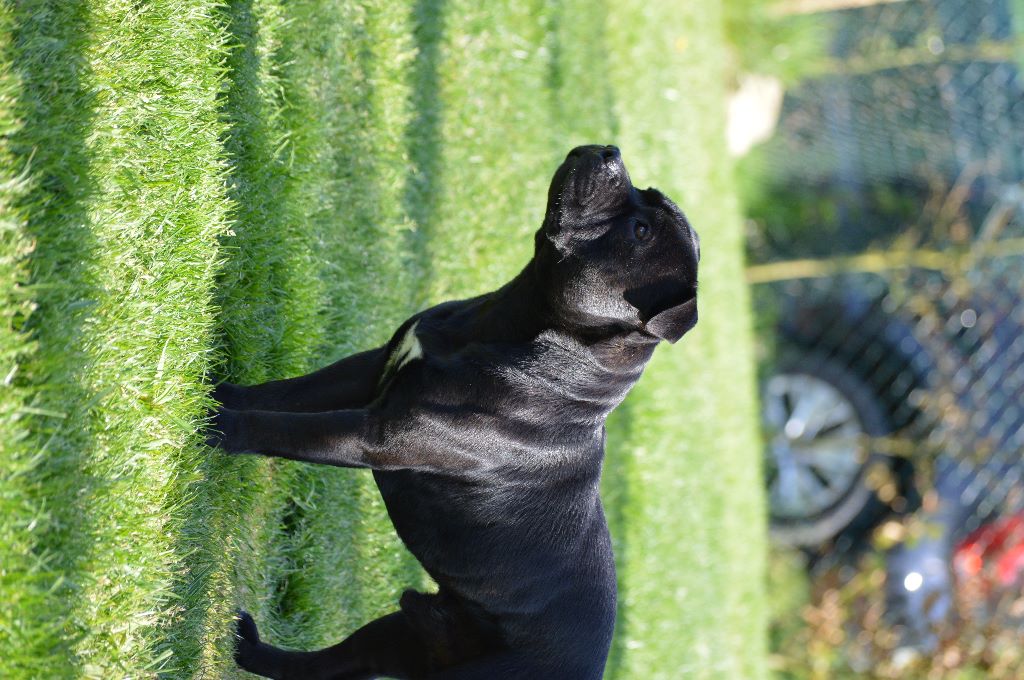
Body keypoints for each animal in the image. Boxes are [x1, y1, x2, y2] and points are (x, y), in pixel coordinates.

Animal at [210, 144, 700, 680]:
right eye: (643, 200)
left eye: (641, 232)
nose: (611, 151)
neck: (512, 325)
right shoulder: (371, 370)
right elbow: (286, 395)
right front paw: (218, 391)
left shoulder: (378, 435)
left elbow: (282, 427)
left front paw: (220, 426)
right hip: (401, 635)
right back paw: (245, 647)